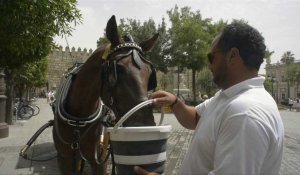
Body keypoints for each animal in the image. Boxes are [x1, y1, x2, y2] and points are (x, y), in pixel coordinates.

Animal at [51, 15, 159, 174]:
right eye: (117, 69)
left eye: (150, 73)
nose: (145, 128)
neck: (79, 120)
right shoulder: (63, 160)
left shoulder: (99, 161)